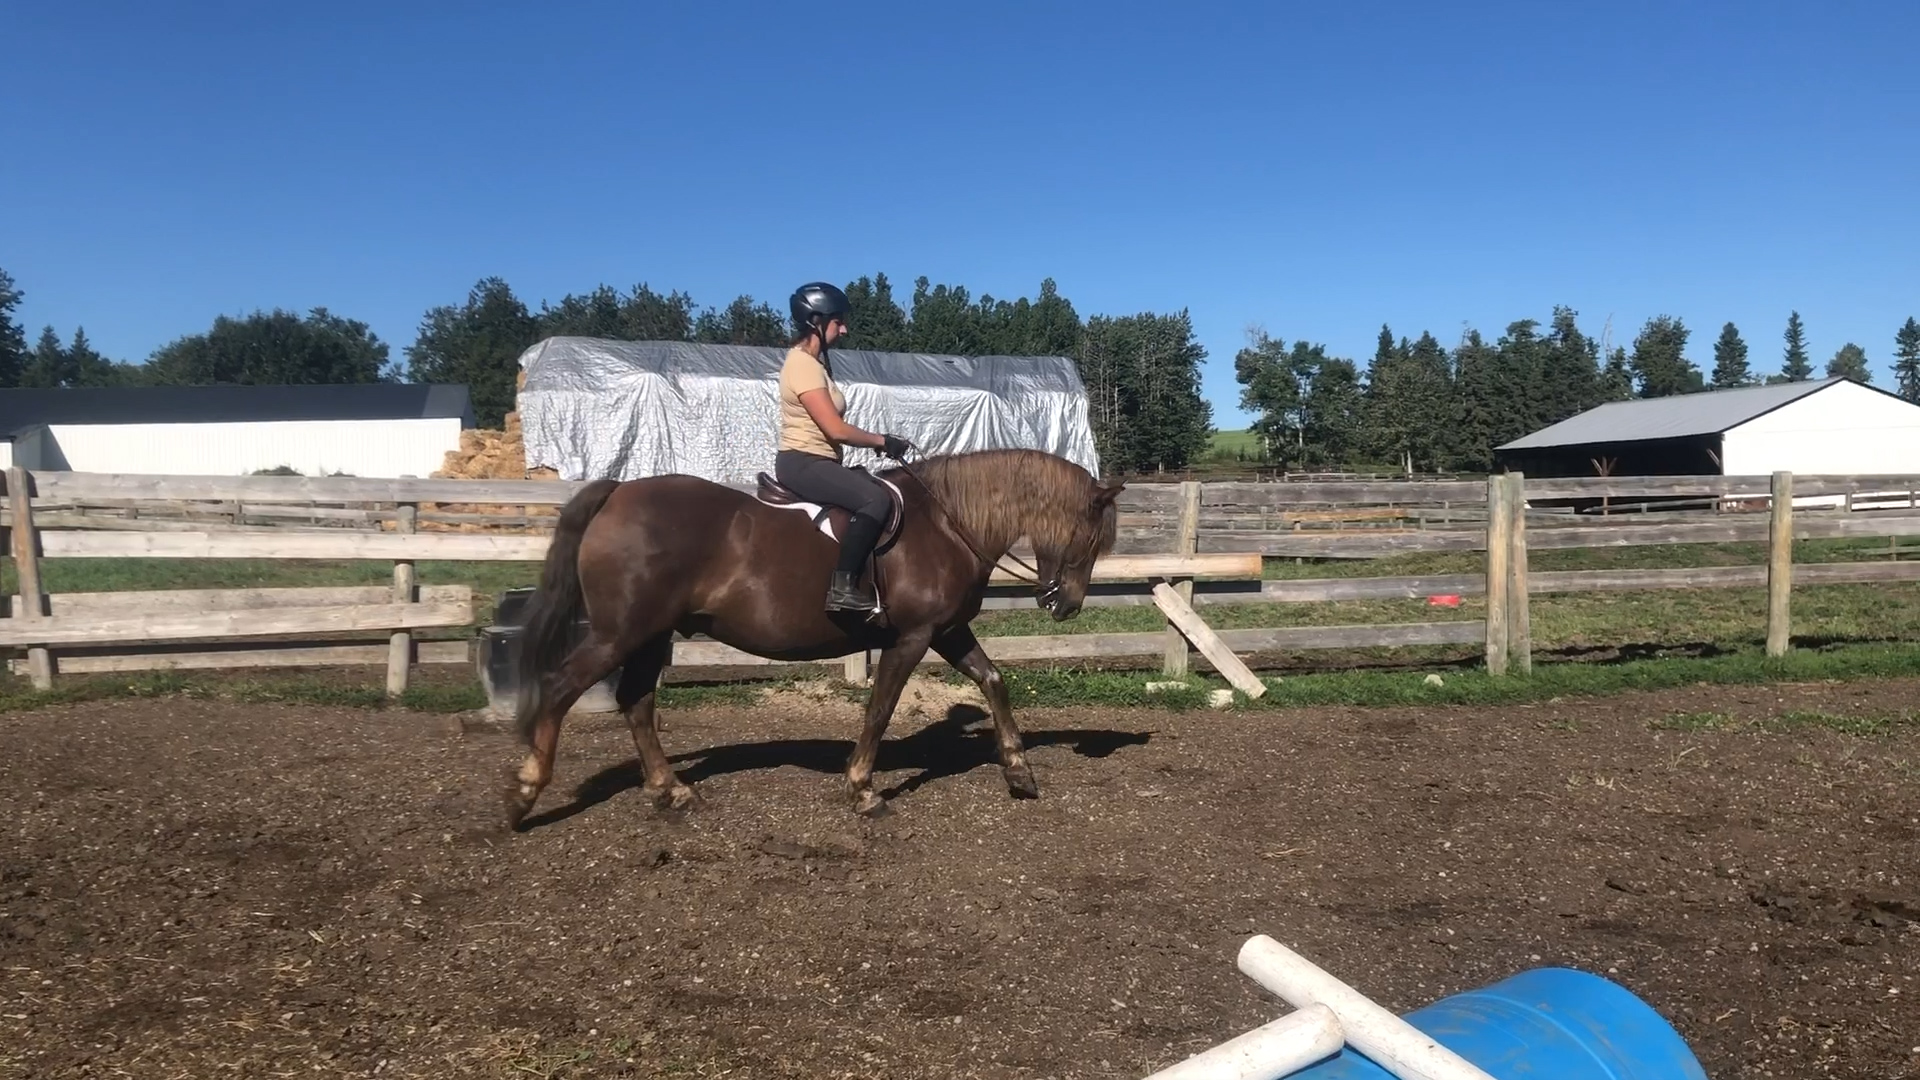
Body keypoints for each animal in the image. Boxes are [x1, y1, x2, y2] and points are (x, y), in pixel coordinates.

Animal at [503, 447, 1126, 827]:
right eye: (1091, 537)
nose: (1066, 605)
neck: (948, 523)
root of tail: (618, 494)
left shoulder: (947, 630)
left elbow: (993, 680)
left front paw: (1019, 771)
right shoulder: (913, 636)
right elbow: (880, 708)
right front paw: (862, 788)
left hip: (651, 636)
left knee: (636, 702)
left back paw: (671, 790)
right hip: (619, 634)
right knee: (560, 689)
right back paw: (525, 792)